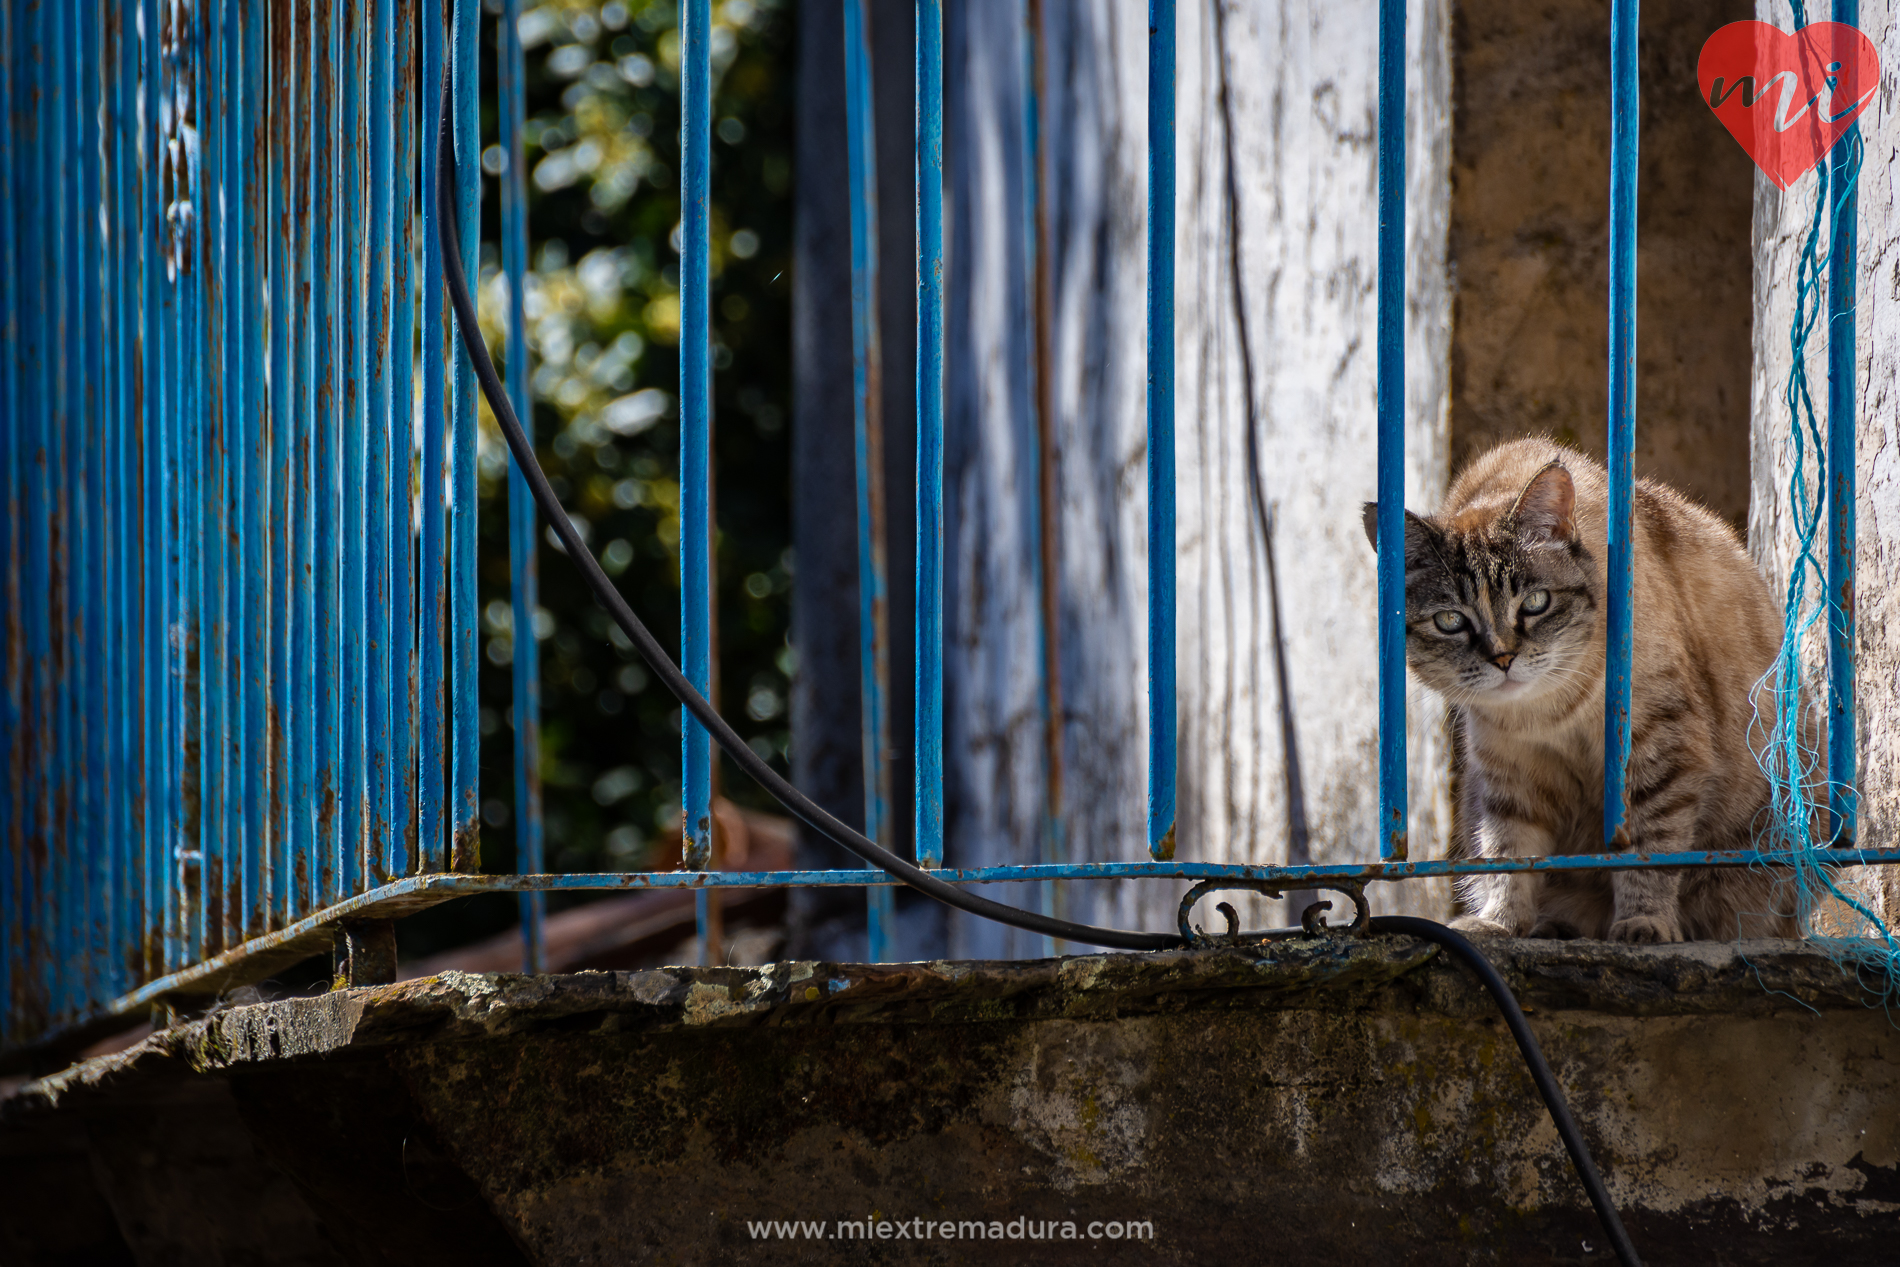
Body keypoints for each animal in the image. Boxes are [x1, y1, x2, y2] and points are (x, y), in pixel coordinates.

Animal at [1368, 436, 1793, 942]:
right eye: (1450, 620)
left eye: (1535, 602)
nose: (1503, 658)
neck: (1547, 712)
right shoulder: (1508, 771)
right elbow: (1508, 852)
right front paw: (1499, 922)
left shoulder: (1659, 751)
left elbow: (1649, 849)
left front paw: (1645, 921)